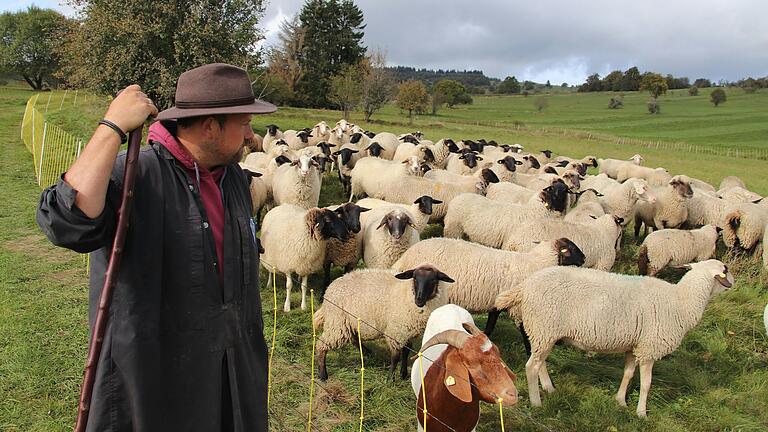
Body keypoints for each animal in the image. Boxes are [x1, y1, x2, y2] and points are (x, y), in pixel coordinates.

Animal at [314, 264, 456, 380]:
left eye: (433, 280)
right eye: (415, 278)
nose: (419, 300)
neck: (408, 293)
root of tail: (330, 288)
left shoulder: (408, 332)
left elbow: (405, 353)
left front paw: (403, 374)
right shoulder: (397, 331)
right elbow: (396, 356)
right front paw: (390, 378)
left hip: (348, 322)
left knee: (354, 338)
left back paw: (367, 352)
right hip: (337, 323)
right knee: (322, 345)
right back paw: (323, 375)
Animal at [392, 238, 584, 336]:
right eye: (572, 249)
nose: (584, 259)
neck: (535, 263)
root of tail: (405, 256)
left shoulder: (497, 303)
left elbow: (490, 325)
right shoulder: (518, 308)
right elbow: (525, 334)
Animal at [496, 258, 736, 416]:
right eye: (726, 269)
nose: (734, 282)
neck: (682, 301)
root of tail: (524, 286)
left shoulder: (634, 345)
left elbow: (628, 374)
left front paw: (620, 401)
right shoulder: (649, 348)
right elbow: (647, 383)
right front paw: (641, 413)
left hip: (544, 332)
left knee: (540, 363)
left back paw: (549, 388)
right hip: (545, 327)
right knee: (531, 366)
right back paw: (536, 402)